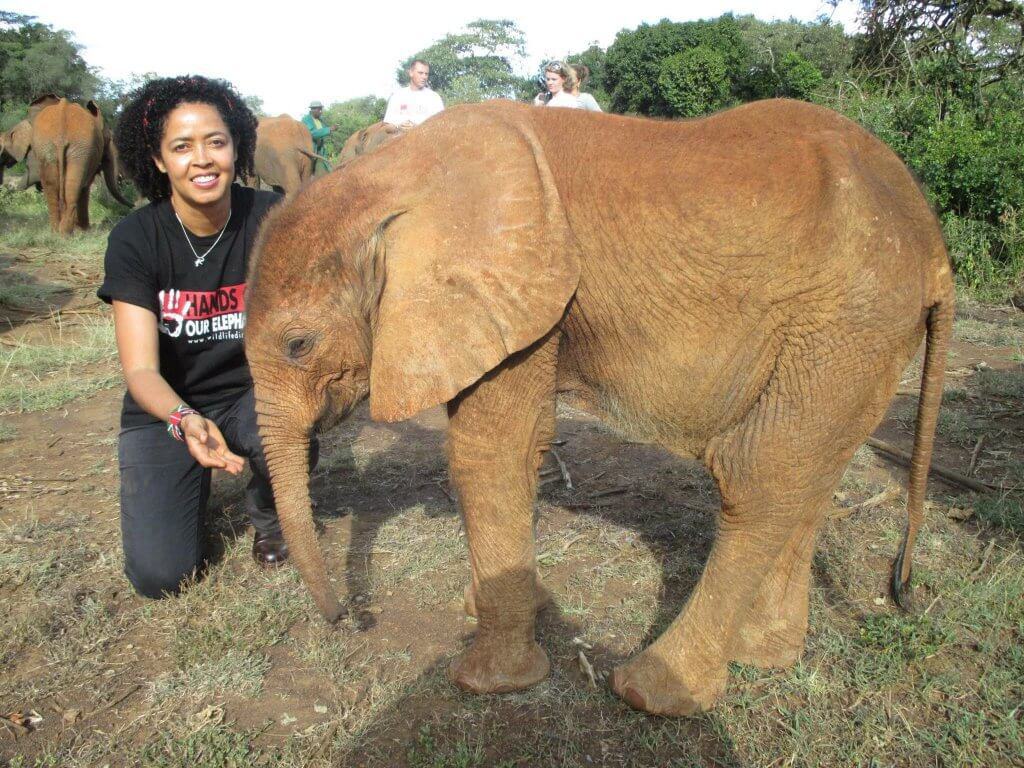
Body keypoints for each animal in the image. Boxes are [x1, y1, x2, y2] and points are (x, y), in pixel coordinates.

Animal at [22, 94, 132, 231]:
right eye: (109, 139)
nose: (133, 205)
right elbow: (86, 186)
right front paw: (85, 230)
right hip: (79, 148)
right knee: (75, 187)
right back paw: (67, 232)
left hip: (48, 147)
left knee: (52, 187)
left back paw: (57, 232)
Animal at [243, 99, 954, 720]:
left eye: (299, 344)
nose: (348, 620)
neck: (391, 176)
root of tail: (934, 246)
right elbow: (521, 446)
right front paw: (490, 608)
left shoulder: (521, 290)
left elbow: (487, 454)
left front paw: (486, 682)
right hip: (860, 341)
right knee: (808, 477)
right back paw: (763, 656)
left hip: (847, 322)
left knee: (759, 478)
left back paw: (653, 691)